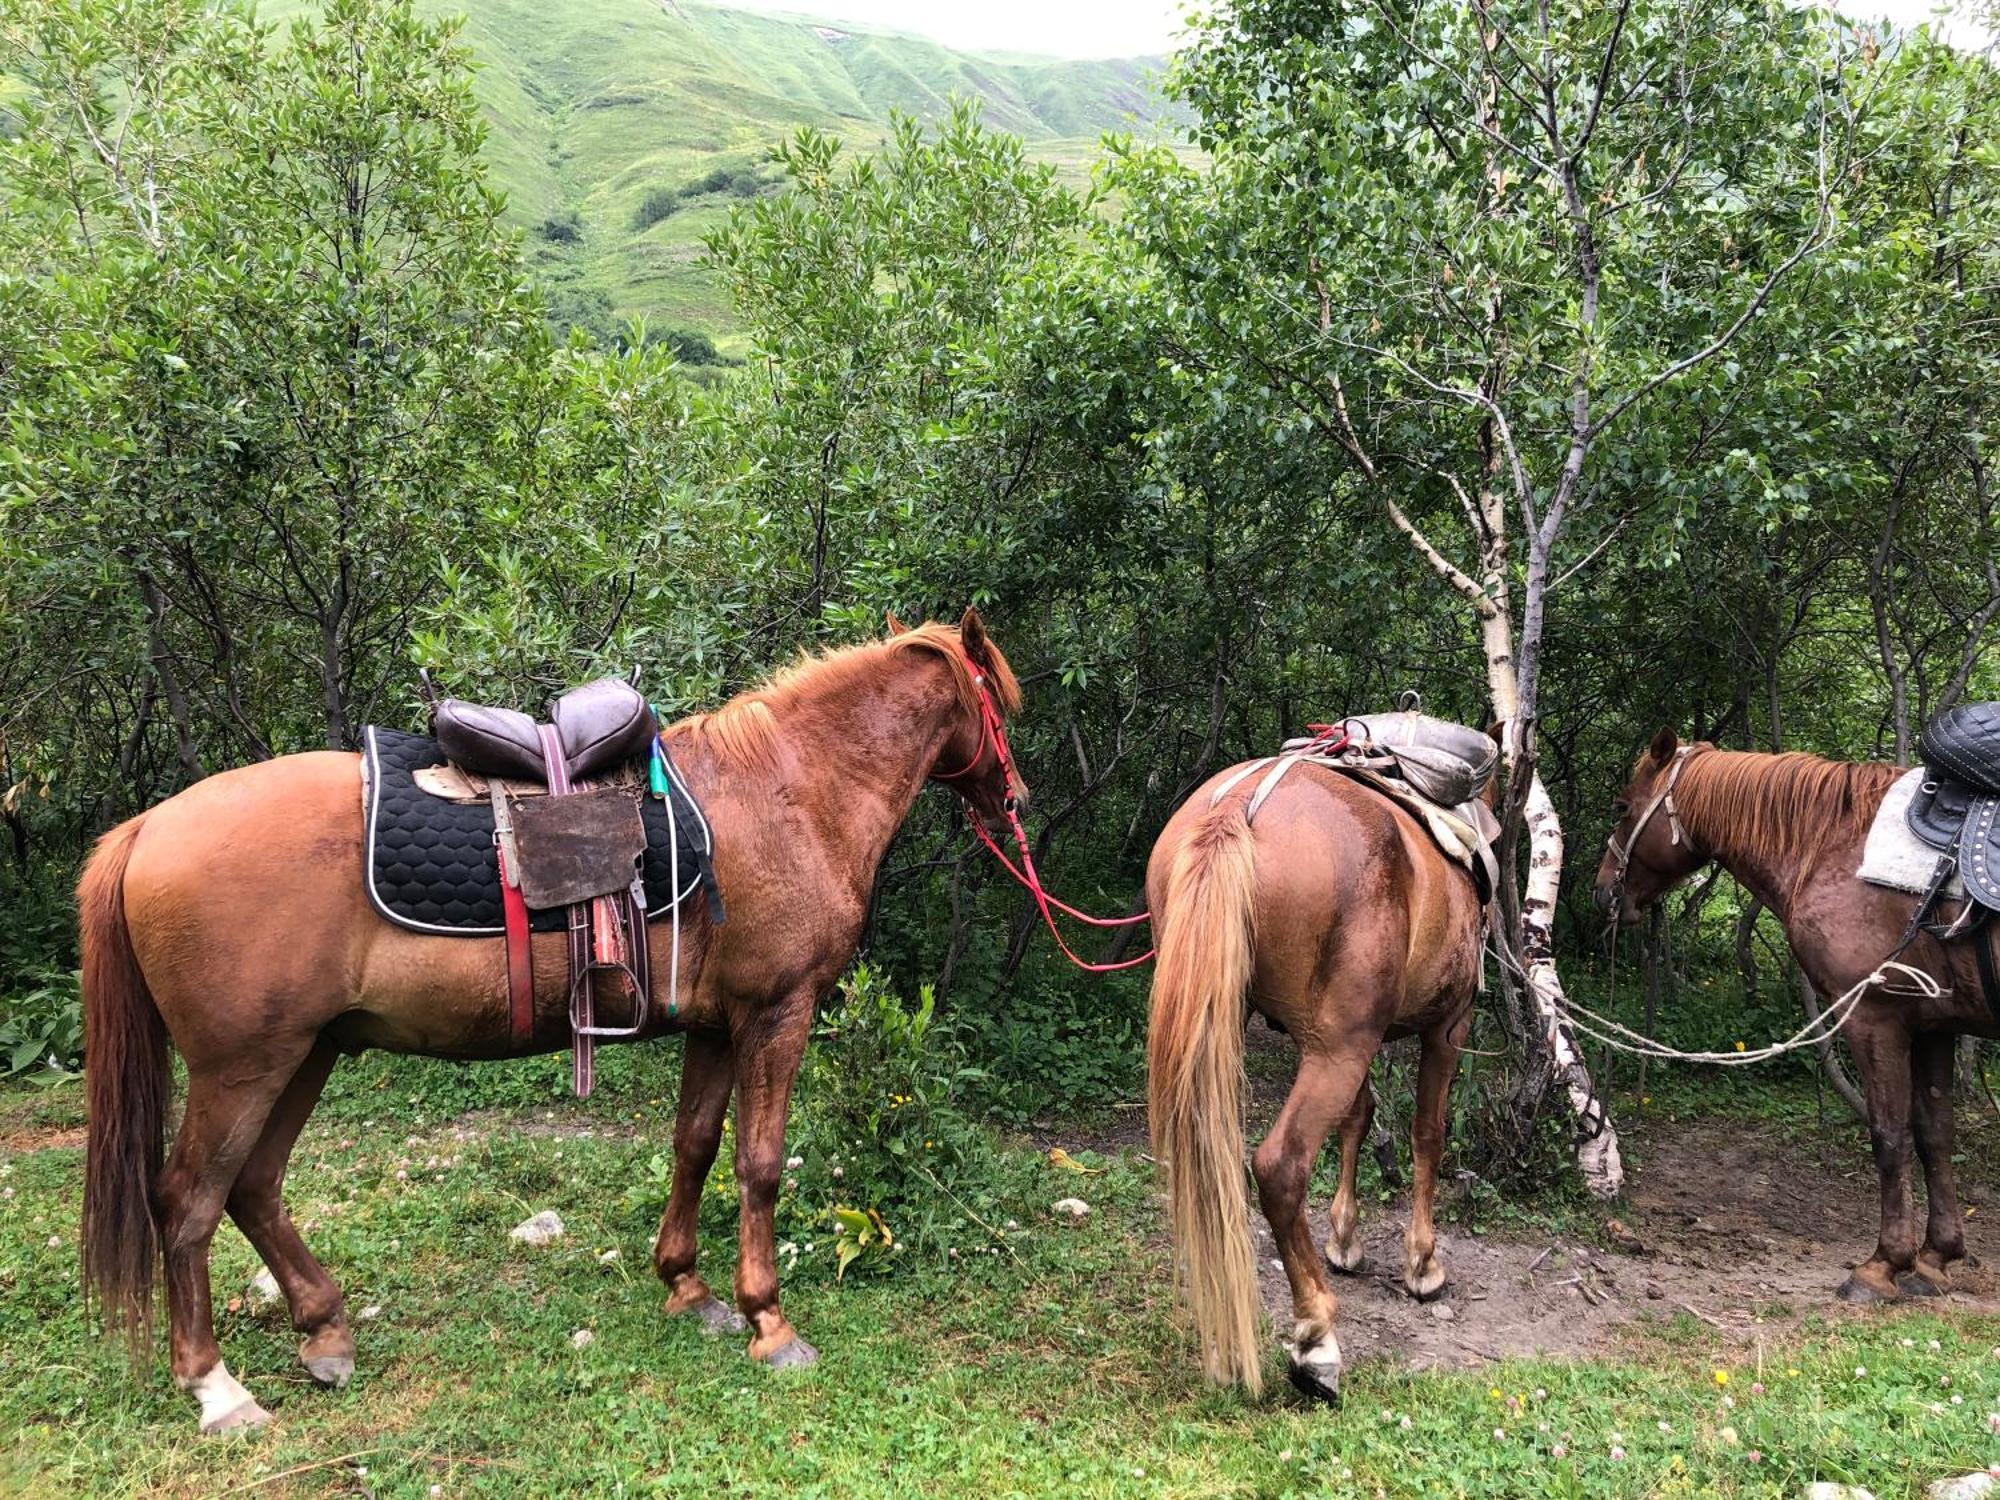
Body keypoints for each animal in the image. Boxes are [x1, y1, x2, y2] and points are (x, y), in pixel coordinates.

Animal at [80, 616, 1024, 1440]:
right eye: (1001, 707)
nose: (1012, 796)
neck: (791, 792)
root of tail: (150, 826)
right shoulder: (774, 1015)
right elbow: (758, 1165)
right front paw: (770, 1322)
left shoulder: (716, 1026)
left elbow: (695, 1145)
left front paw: (689, 1288)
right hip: (244, 1067)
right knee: (189, 1201)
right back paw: (217, 1388)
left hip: (306, 1053)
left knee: (253, 1187)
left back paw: (325, 1330)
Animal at [1144, 768, 1488, 1408]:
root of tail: (1235, 809)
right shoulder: (1446, 1027)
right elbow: (1427, 1133)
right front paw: (1422, 1264)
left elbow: (1359, 1118)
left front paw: (1345, 1238)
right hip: (1338, 1051)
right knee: (1280, 1166)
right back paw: (1316, 1340)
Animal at [1592, 736, 2000, 1312]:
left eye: (1623, 807)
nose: (1603, 890)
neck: (1837, 847)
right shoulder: (1934, 1026)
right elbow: (1935, 1135)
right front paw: (1935, 1259)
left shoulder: (1874, 1018)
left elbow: (1890, 1137)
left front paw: (1883, 1265)